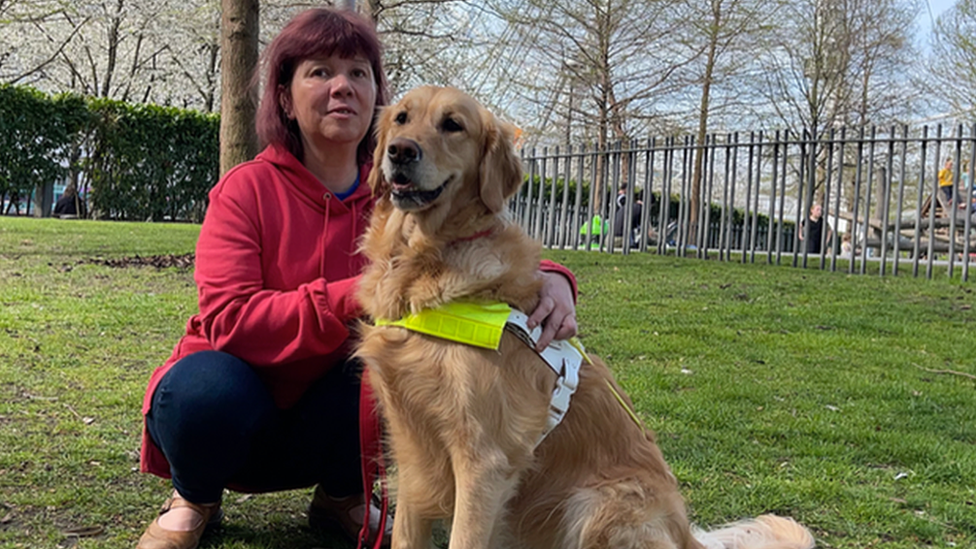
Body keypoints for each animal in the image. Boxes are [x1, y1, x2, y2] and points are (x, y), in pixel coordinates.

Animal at [354, 86, 812, 548]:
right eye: (402, 118)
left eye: (453, 125)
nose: (400, 151)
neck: (426, 260)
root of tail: (686, 535)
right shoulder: (412, 451)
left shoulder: (483, 460)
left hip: (597, 505)